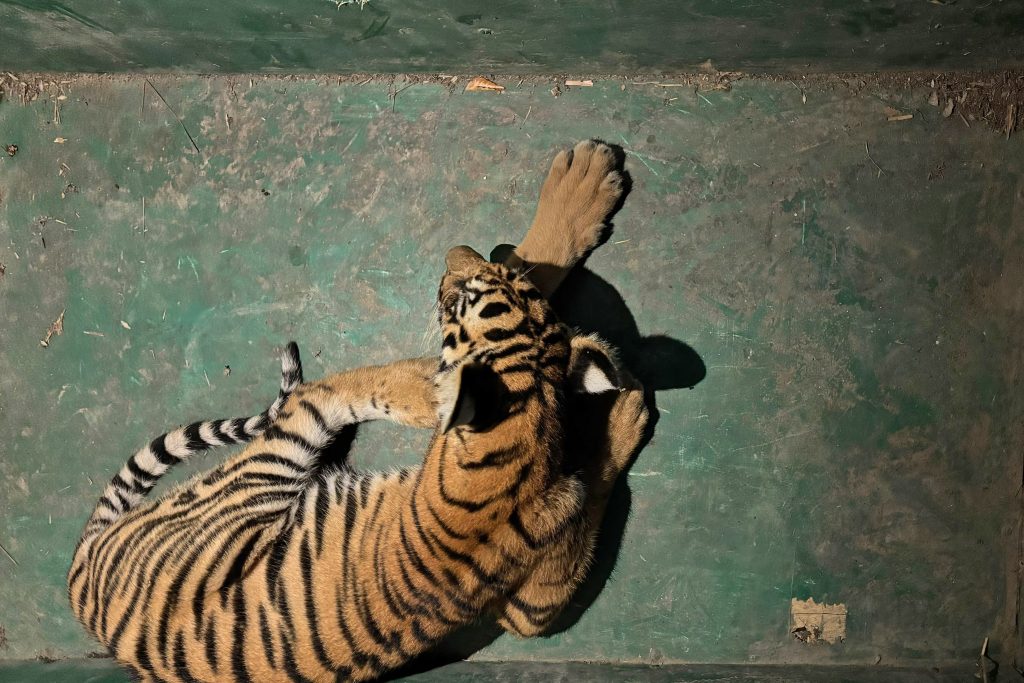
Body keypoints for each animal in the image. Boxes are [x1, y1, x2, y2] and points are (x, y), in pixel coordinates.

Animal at [67, 140, 650, 682]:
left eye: (461, 296)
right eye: (476, 283)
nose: (455, 252)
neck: (529, 435)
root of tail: (82, 579)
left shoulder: (530, 603)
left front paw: (623, 405)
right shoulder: (531, 608)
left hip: (271, 464)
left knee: (317, 394)